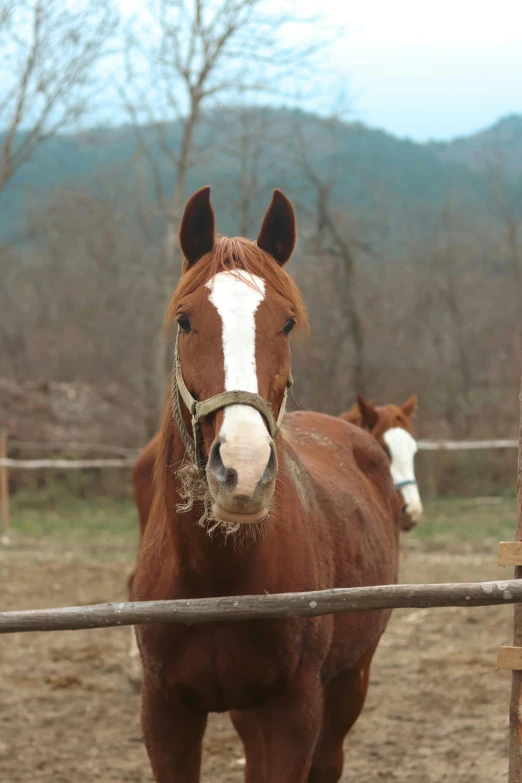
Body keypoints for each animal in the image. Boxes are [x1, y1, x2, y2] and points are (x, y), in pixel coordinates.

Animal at [131, 188, 398, 783]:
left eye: (287, 323)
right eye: (185, 321)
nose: (244, 470)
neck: (216, 580)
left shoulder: (292, 715)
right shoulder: (166, 715)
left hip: (349, 683)